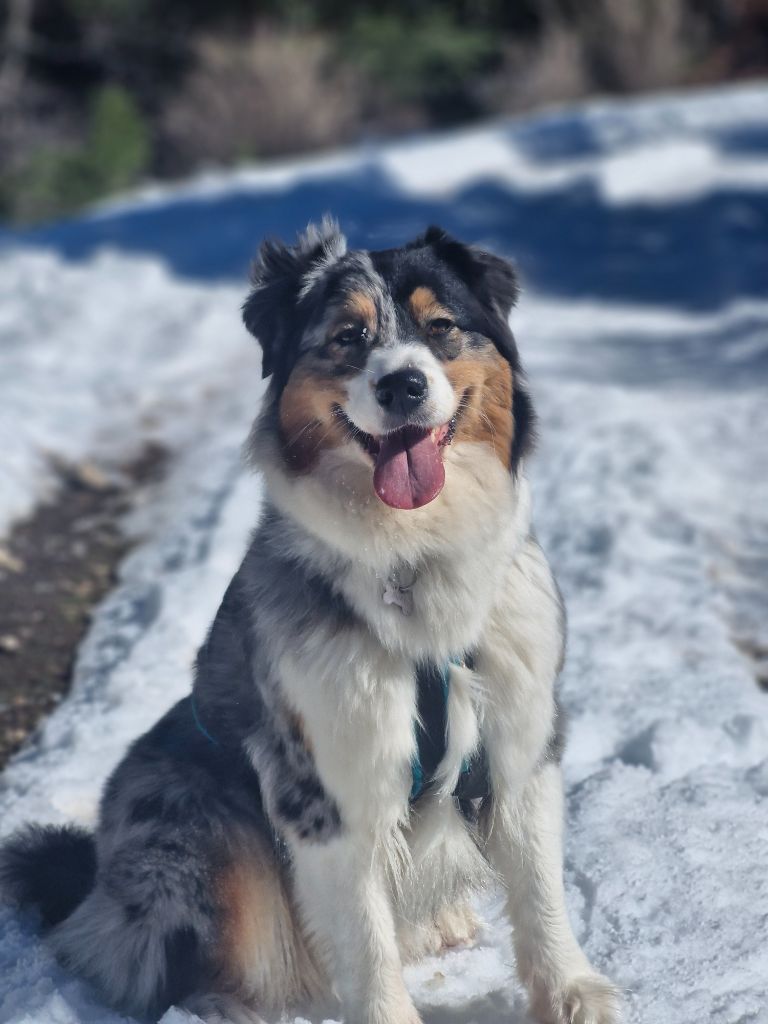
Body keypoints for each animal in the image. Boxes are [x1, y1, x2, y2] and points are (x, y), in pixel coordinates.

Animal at [0, 224, 622, 1024]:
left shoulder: (521, 726)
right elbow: (364, 939)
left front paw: (574, 993)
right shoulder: (328, 782)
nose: (401, 385)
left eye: (441, 327)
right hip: (190, 824)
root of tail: (92, 884)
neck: (413, 559)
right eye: (348, 337)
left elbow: (541, 888)